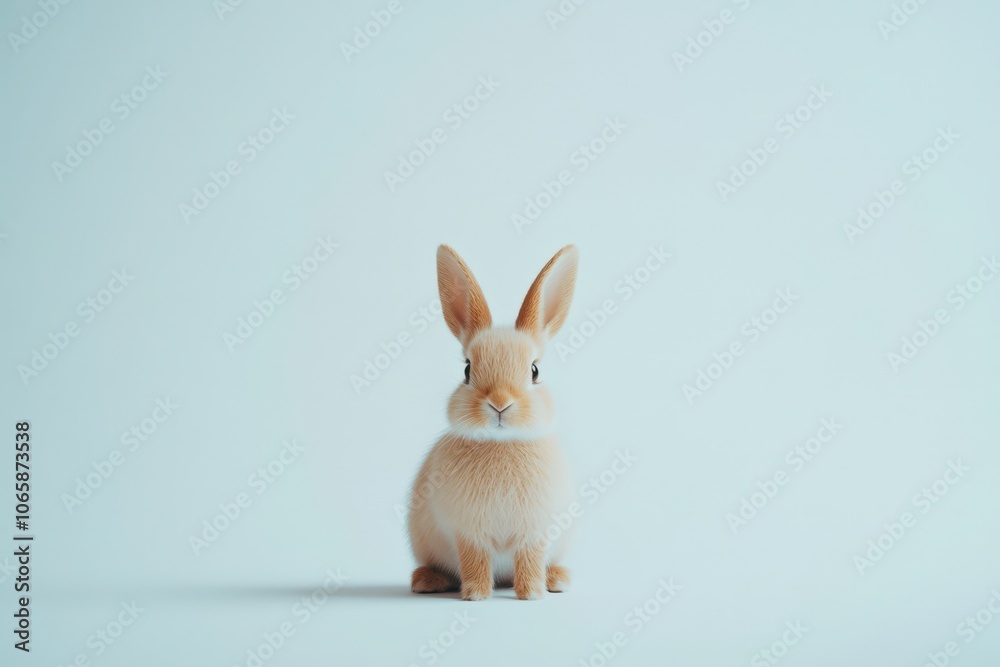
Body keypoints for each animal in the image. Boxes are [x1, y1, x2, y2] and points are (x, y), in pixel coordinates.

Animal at [408, 244, 579, 601]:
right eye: (467, 370)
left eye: (535, 371)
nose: (500, 403)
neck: (502, 443)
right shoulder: (468, 533)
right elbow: (474, 561)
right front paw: (475, 595)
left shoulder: (534, 532)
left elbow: (530, 560)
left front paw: (531, 594)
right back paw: (427, 581)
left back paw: (557, 579)